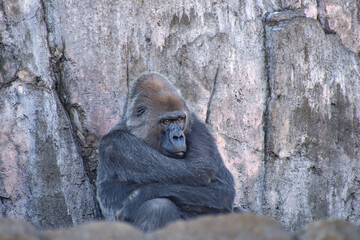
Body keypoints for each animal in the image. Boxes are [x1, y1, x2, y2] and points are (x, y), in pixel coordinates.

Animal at [96, 72, 236, 232]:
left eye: (180, 119)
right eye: (166, 122)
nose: (178, 136)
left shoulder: (195, 122)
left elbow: (222, 189)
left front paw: (137, 197)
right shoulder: (118, 144)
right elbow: (198, 170)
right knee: (158, 207)